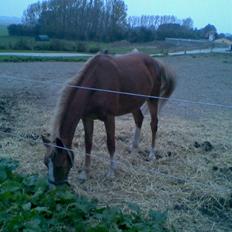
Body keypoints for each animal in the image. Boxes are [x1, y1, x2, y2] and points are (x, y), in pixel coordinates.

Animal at [41, 52, 176, 185]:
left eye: (59, 165)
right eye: (46, 163)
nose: (53, 187)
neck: (95, 83)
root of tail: (155, 62)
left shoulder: (109, 118)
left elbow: (110, 143)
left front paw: (111, 172)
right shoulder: (87, 118)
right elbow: (88, 143)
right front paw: (85, 173)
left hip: (153, 99)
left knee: (154, 124)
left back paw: (152, 154)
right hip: (134, 103)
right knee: (139, 119)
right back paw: (134, 148)